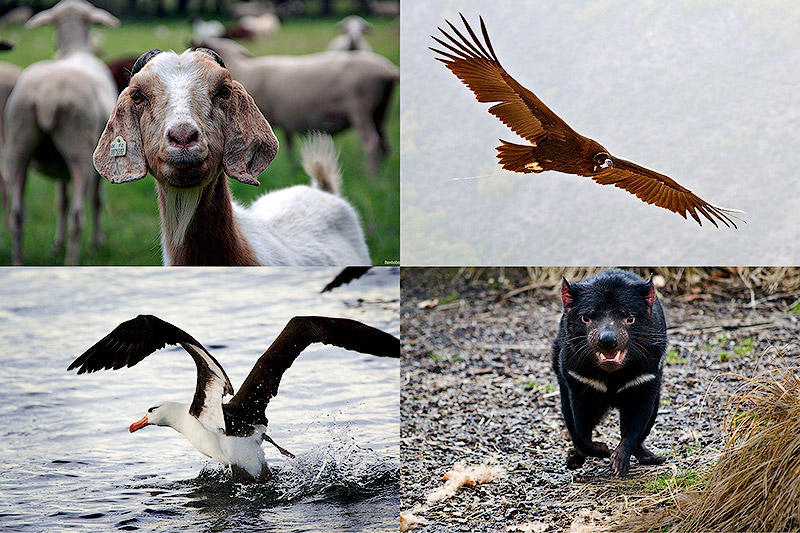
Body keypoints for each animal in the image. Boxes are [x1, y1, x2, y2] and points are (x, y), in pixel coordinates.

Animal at [1, 0, 118, 264]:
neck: (75, 49)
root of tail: (47, 95)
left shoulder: (59, 165)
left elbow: (60, 202)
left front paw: (57, 244)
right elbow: (96, 200)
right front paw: (97, 242)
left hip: (17, 145)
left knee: (17, 215)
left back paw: (18, 260)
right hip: (79, 149)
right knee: (78, 214)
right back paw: (73, 261)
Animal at [196, 38, 396, 175]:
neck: (242, 69)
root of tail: (389, 71)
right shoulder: (284, 119)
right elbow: (288, 143)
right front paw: (292, 167)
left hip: (360, 108)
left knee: (372, 142)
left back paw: (370, 175)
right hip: (380, 111)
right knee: (385, 143)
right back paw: (382, 174)